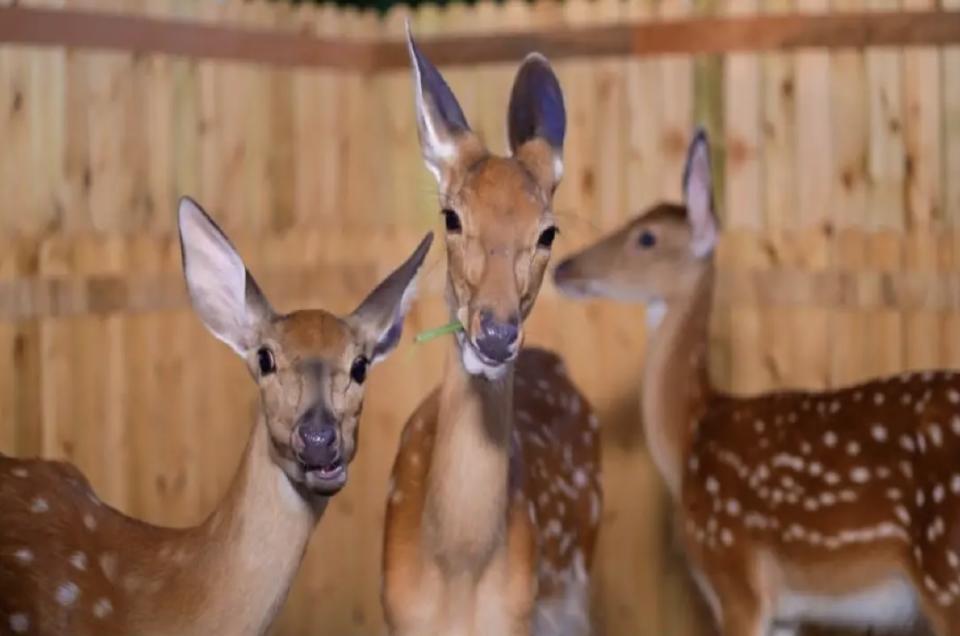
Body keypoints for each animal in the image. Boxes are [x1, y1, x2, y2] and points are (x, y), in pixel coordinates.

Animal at [552, 126, 960, 632]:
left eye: (645, 237)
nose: (563, 267)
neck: (689, 437)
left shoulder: (734, 571)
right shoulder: (784, 609)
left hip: (944, 570)